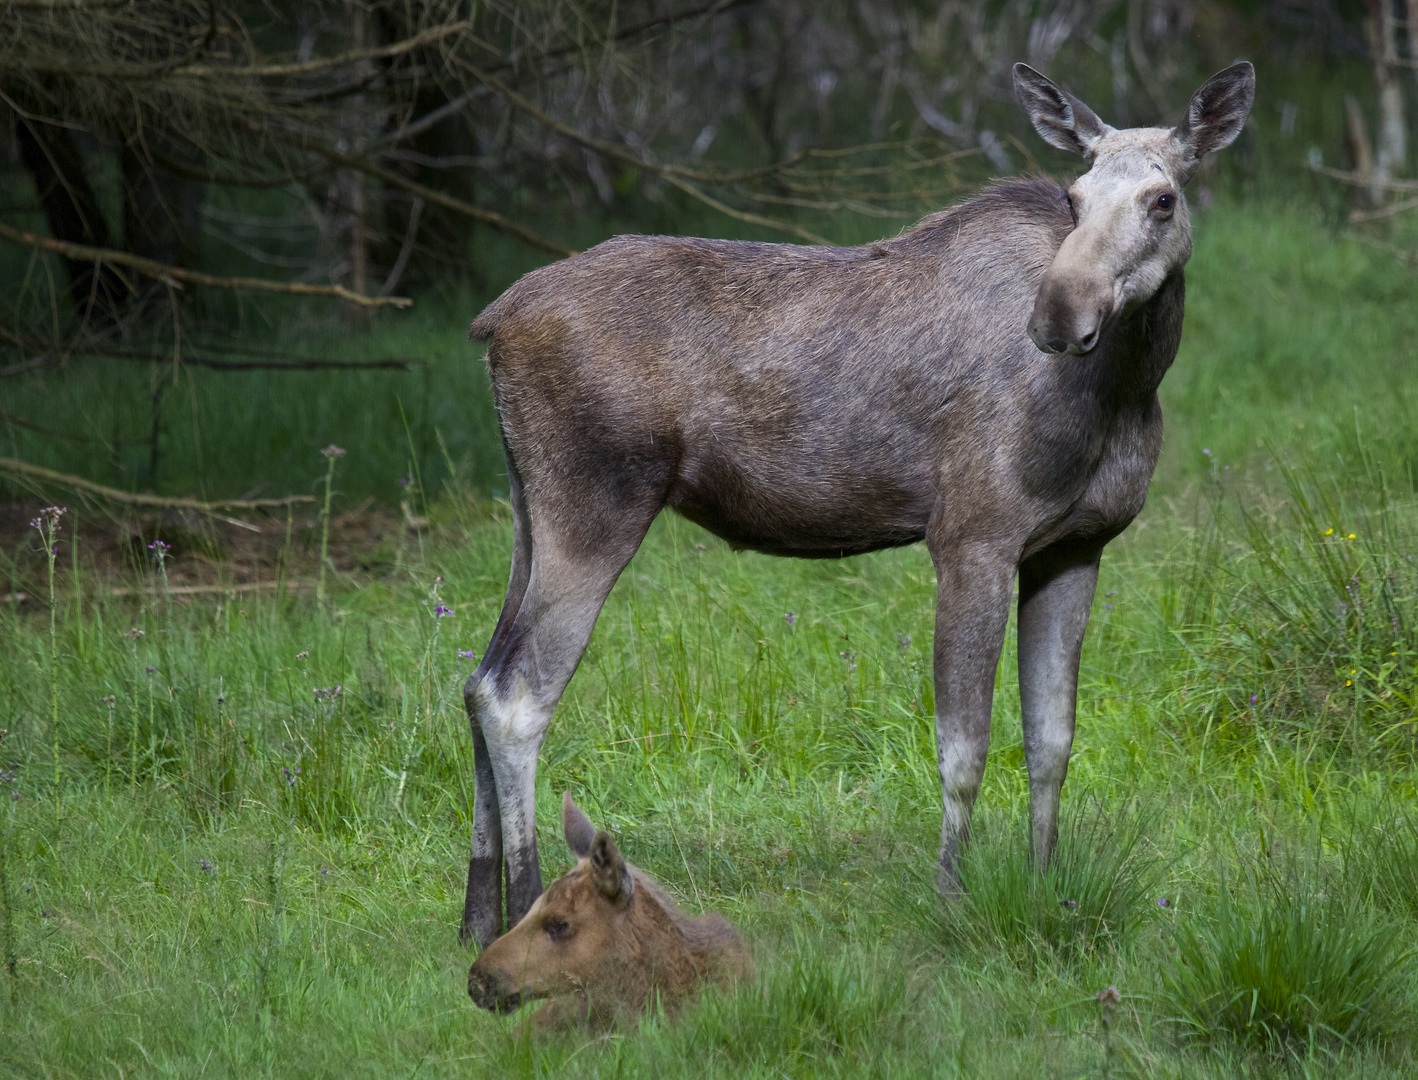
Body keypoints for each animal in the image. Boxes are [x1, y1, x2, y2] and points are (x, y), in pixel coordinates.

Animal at [453, 60, 1253, 941]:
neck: (1125, 386)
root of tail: (493, 322)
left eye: (1163, 198)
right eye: (1073, 197)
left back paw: (477, 921)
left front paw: (1046, 891)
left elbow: (1052, 741)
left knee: (477, 680)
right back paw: (528, 910)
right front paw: (950, 899)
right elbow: (964, 748)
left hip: (530, 517)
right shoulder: (973, 539)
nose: (1059, 313)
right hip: (594, 510)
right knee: (516, 697)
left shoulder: (1075, 548)